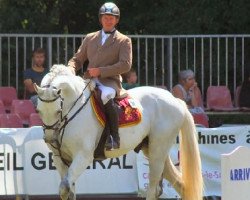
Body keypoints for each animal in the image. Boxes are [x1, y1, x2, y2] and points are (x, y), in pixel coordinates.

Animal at [34, 65, 203, 199]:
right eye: (38, 111)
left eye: (58, 111)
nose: (49, 138)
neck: (72, 109)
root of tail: (174, 99)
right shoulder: (60, 158)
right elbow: (68, 190)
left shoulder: (83, 156)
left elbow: (64, 188)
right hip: (152, 149)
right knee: (179, 184)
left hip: (158, 149)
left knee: (153, 185)